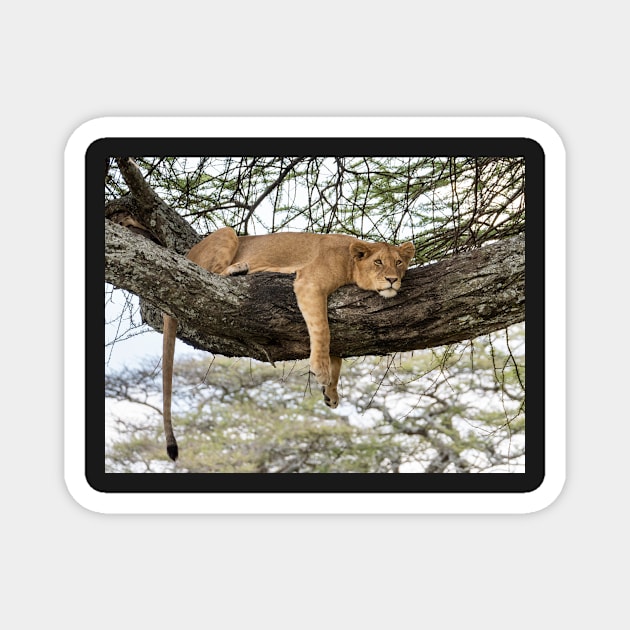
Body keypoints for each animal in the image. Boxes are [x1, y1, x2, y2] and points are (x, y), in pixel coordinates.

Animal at [163, 230, 418, 462]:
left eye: (398, 262)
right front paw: (320, 370)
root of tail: (186, 254)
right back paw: (240, 268)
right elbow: (322, 329)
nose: (392, 280)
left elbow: (336, 353)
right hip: (227, 233)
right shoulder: (310, 283)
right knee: (210, 273)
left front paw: (331, 392)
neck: (349, 261)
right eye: (378, 262)